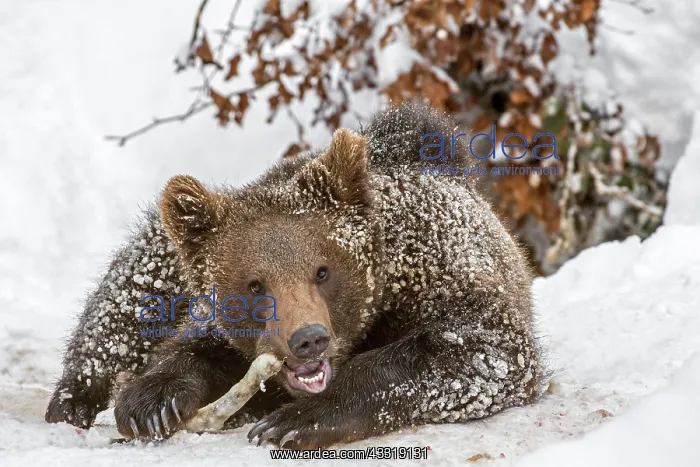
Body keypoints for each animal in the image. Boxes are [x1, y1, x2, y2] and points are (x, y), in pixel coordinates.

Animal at [45, 102, 544, 448]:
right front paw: (151, 401)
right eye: (254, 284)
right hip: (169, 253)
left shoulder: (448, 279)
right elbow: (195, 347)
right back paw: (75, 398)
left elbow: (478, 352)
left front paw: (297, 419)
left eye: (323, 271)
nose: (308, 338)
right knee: (128, 299)